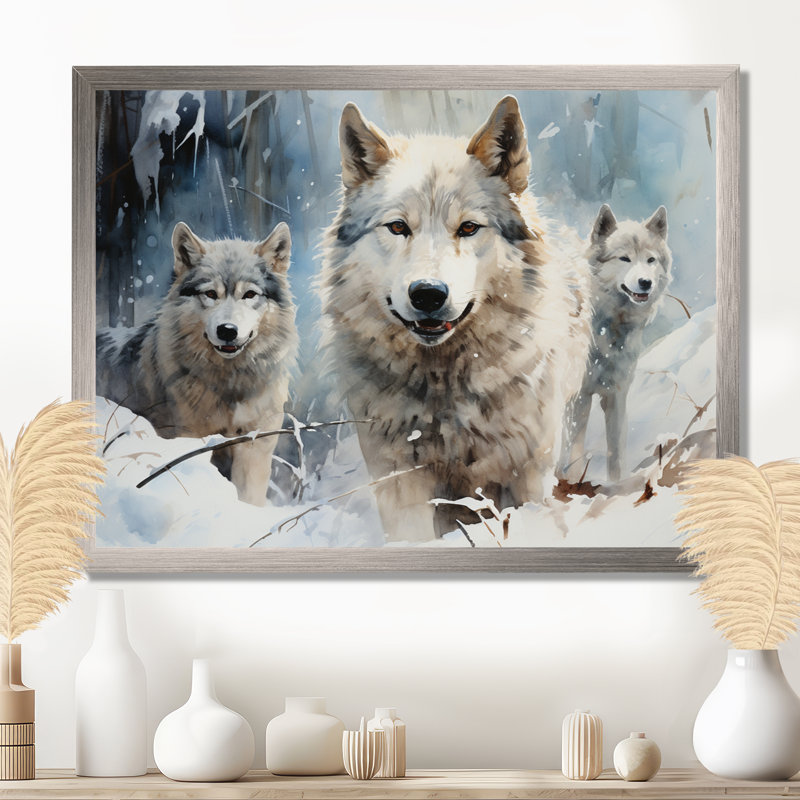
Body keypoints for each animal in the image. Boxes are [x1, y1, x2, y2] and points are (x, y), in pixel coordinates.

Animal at [97, 221, 298, 506]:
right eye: (211, 294)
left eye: (249, 294)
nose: (227, 330)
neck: (229, 387)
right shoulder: (189, 441)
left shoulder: (253, 447)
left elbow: (248, 497)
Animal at [319, 96, 592, 542]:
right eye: (398, 227)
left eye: (468, 227)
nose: (428, 294)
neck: (444, 391)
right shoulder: (399, 481)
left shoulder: (528, 473)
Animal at [559, 204, 673, 484]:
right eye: (624, 259)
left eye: (650, 260)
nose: (645, 282)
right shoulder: (579, 397)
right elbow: (574, 451)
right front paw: (572, 485)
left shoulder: (617, 395)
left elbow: (616, 451)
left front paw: (615, 484)